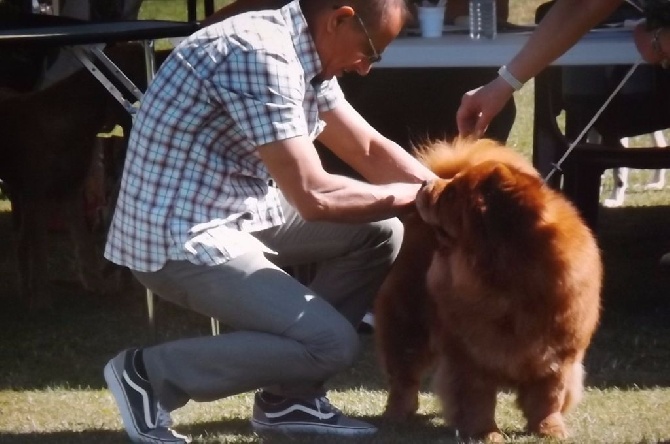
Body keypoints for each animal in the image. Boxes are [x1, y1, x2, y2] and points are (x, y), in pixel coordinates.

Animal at [378, 138, 604, 440]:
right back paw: (396, 414)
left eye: (452, 193)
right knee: (404, 376)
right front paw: (487, 434)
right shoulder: (471, 358)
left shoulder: (558, 357)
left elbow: (549, 399)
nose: (426, 183)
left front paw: (550, 430)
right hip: (408, 322)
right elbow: (477, 402)